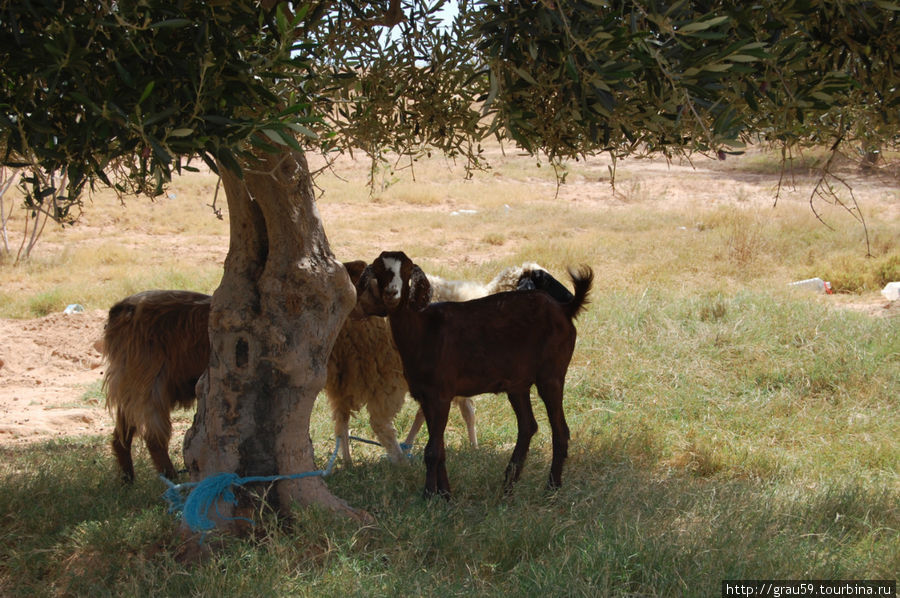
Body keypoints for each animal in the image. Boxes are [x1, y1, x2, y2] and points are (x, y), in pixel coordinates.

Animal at [356, 251, 596, 500]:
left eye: (407, 270)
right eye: (379, 271)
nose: (391, 294)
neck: (422, 327)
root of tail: (566, 309)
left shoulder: (440, 395)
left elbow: (432, 450)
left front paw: (429, 496)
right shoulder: (428, 396)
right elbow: (438, 447)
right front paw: (445, 494)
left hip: (552, 375)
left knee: (560, 429)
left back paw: (552, 487)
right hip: (518, 383)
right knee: (528, 426)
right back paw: (508, 485)